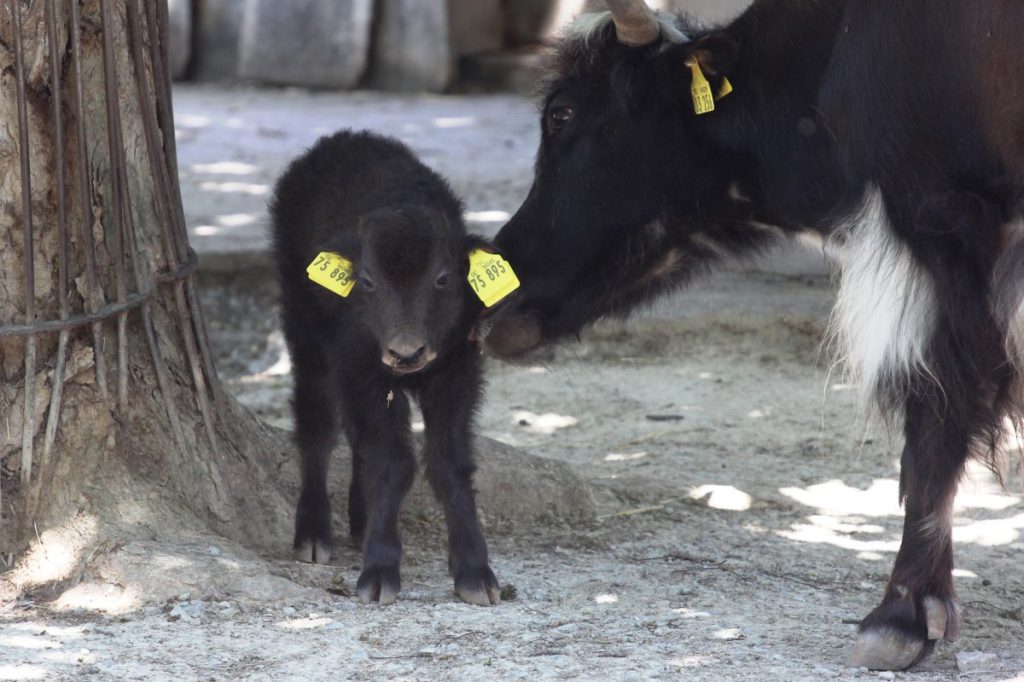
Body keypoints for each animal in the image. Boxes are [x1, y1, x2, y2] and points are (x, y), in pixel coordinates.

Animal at [268, 130, 516, 602]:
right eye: (366, 281)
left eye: (443, 278)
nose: (406, 353)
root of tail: (340, 139)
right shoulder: (363, 372)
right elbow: (392, 462)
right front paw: (379, 572)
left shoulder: (456, 375)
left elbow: (448, 462)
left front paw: (475, 573)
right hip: (306, 337)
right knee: (317, 426)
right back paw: (313, 535)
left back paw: (361, 519)